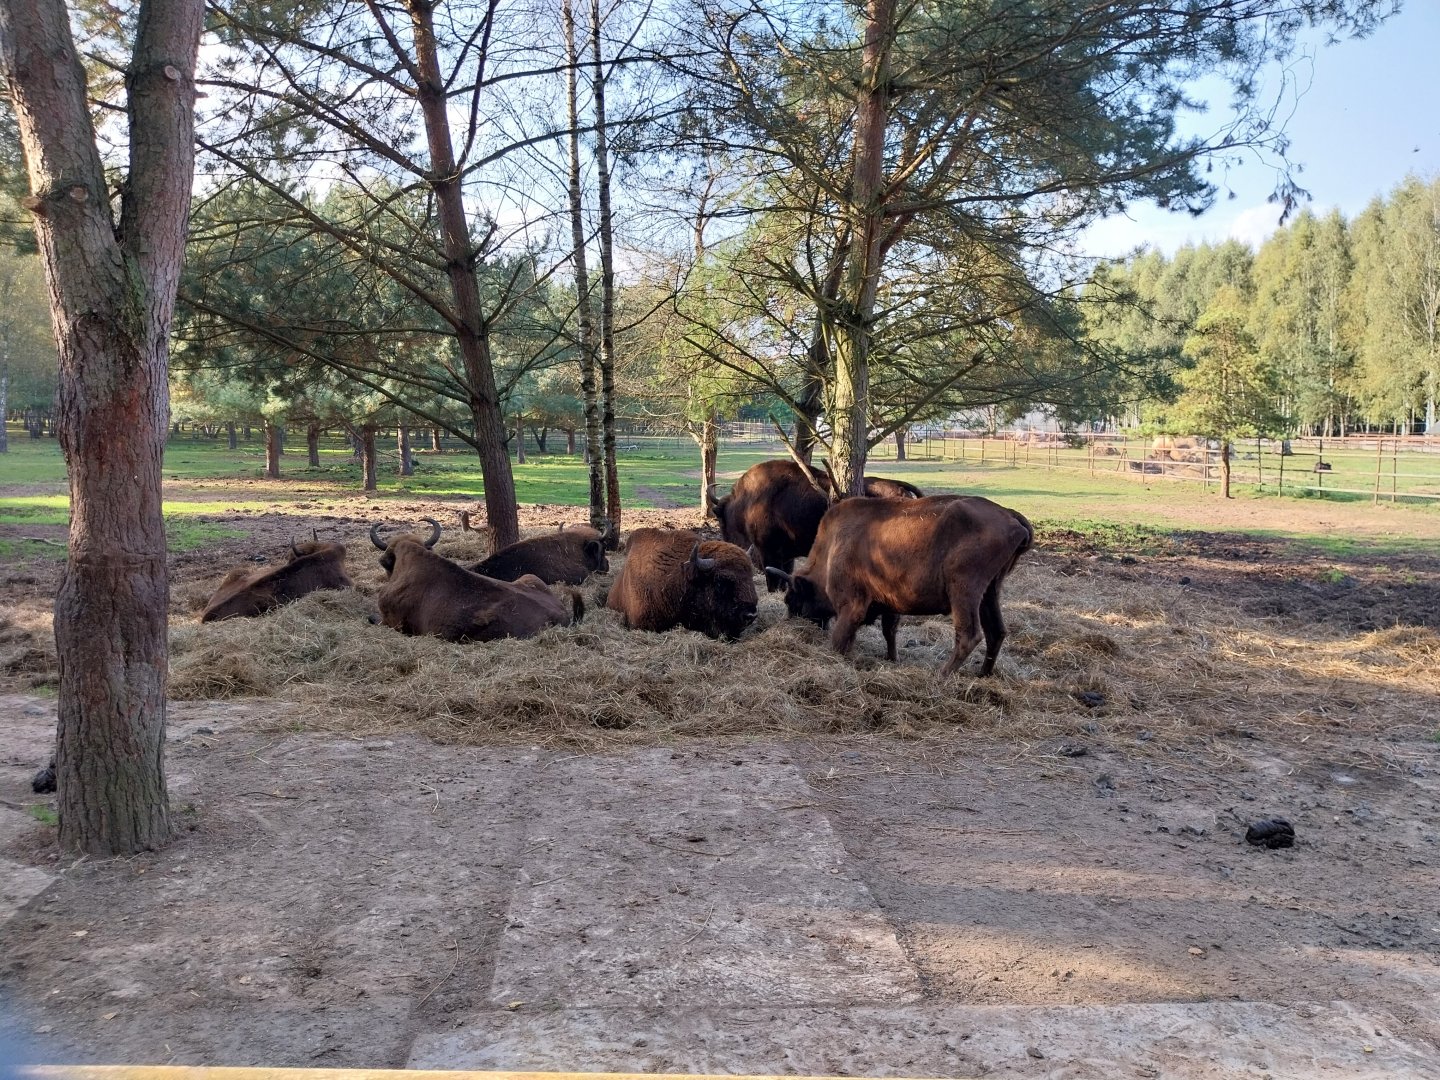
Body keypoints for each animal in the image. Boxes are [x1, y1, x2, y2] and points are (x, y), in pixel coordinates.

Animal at [709, 459, 924, 587]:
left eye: (721, 521)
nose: (728, 545)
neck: (748, 501)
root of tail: (899, 487)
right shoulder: (784, 555)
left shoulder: (768, 551)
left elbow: (773, 578)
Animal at [765, 495, 1032, 677]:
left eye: (792, 600)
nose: (791, 625)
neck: (831, 548)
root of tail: (1009, 515)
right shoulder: (890, 604)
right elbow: (889, 631)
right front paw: (892, 659)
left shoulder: (851, 606)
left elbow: (840, 639)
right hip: (990, 592)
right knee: (996, 631)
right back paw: (982, 674)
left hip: (964, 591)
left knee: (969, 635)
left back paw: (941, 675)